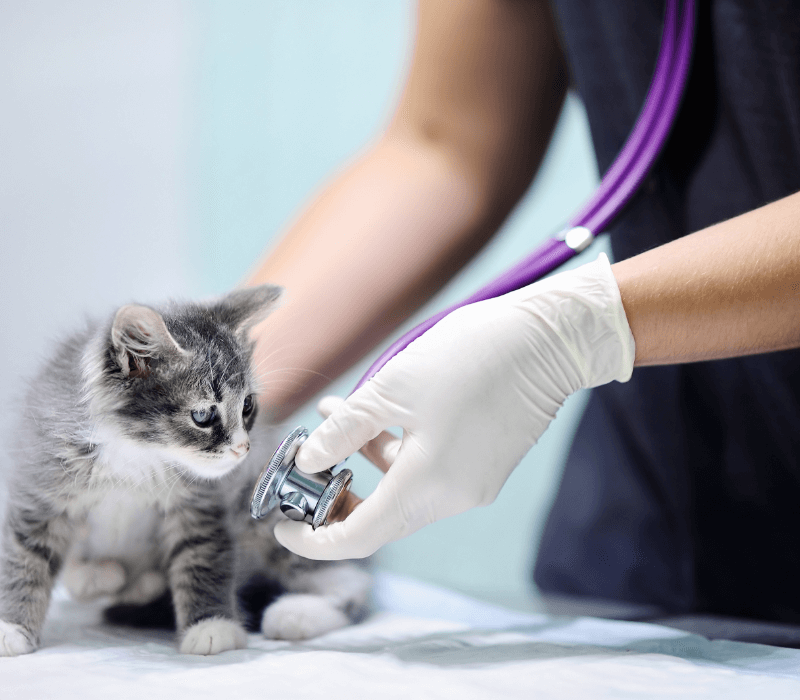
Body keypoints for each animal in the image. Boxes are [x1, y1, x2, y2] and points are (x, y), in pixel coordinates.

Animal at [0, 286, 368, 656]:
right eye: (203, 416)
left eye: (247, 405)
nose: (243, 449)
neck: (137, 453)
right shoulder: (41, 487)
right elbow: (23, 558)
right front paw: (12, 626)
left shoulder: (200, 505)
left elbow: (203, 558)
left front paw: (212, 626)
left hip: (264, 508)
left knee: (349, 581)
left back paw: (295, 613)